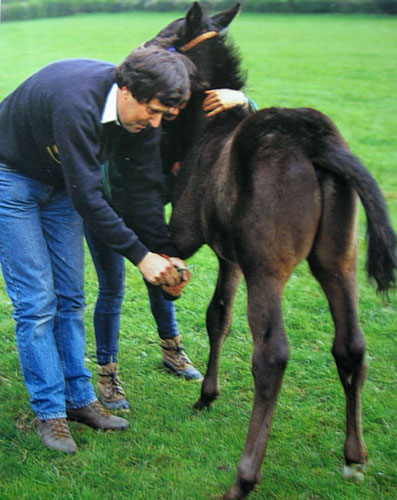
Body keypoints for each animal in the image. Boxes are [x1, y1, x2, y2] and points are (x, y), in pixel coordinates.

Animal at [146, 2, 396, 496]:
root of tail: (315, 140)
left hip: (268, 268)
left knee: (272, 355)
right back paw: (354, 457)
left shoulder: (187, 236)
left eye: (167, 36)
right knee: (352, 344)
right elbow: (218, 316)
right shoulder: (231, 256)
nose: (140, 50)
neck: (206, 128)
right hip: (338, 259)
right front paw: (206, 395)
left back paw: (243, 479)